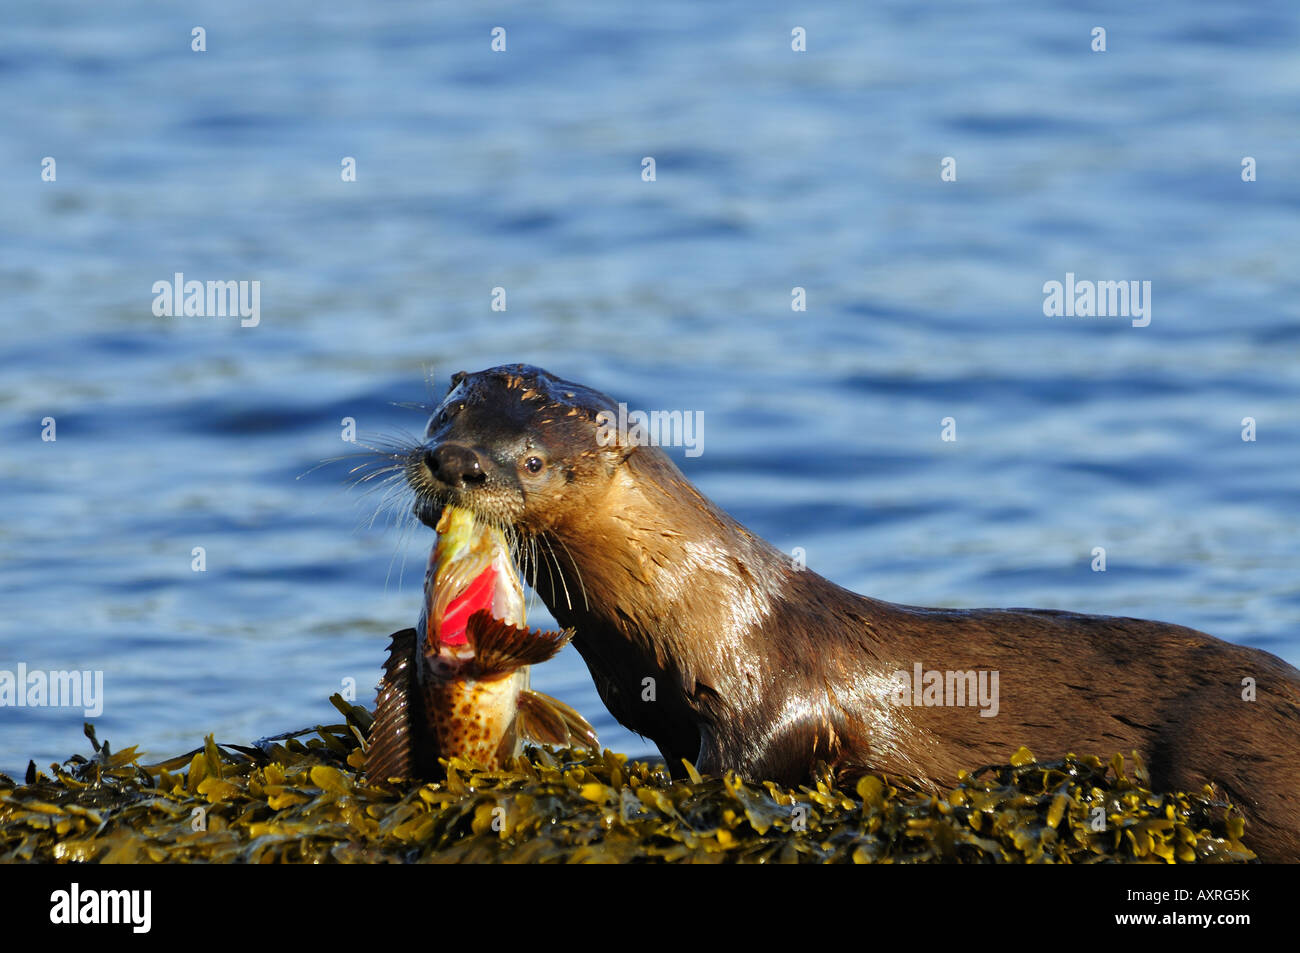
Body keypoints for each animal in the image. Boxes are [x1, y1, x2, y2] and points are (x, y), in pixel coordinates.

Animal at [400, 361, 1294, 858]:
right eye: (444, 417)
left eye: (531, 461)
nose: (454, 461)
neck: (695, 610)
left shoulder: (772, 702)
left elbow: (752, 760)